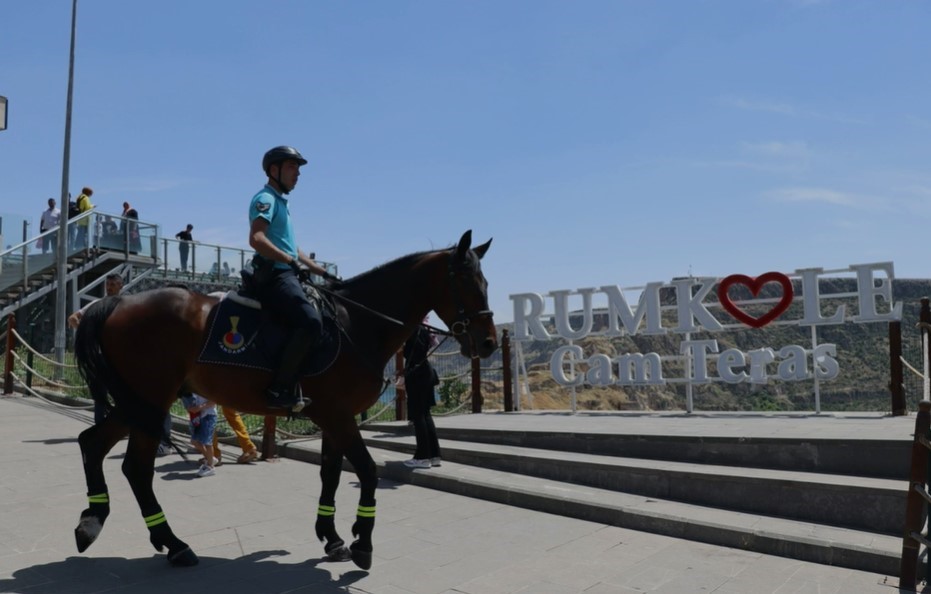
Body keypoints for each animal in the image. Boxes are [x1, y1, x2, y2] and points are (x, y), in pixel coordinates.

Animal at [72, 229, 498, 568]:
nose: (489, 343)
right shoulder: (339, 416)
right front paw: (363, 541)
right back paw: (173, 544)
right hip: (151, 397)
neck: (356, 323)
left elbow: (331, 473)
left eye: (486, 281)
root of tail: (117, 302)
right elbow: (367, 470)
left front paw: (333, 537)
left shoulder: (333, 417)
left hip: (138, 402)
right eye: (466, 280)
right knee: (136, 468)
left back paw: (94, 522)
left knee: (94, 444)